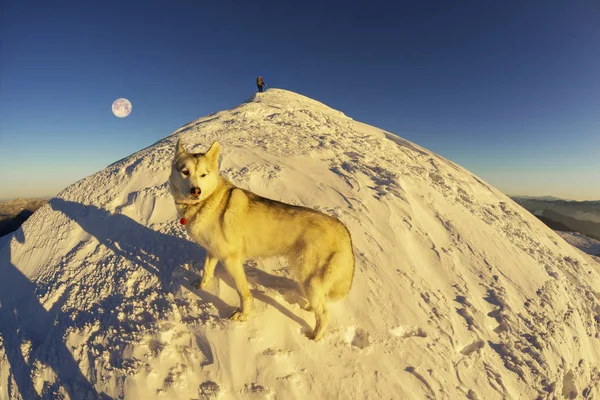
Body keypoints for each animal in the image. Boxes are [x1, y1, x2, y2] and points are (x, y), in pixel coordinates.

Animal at [168, 139, 356, 340]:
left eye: (203, 174)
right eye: (185, 172)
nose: (196, 190)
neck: (207, 202)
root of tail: (343, 229)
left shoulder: (231, 260)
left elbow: (244, 293)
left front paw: (242, 316)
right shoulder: (213, 251)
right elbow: (207, 270)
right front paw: (201, 286)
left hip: (309, 279)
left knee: (324, 314)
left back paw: (314, 337)